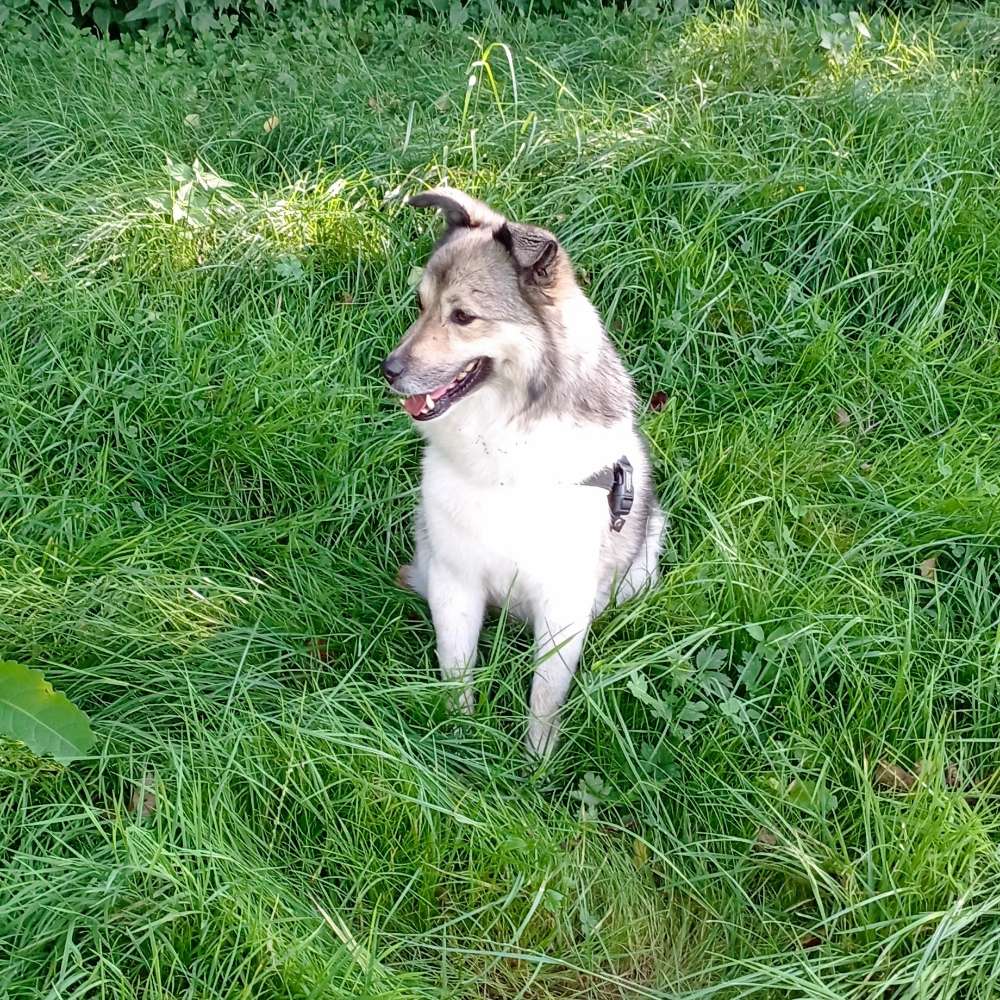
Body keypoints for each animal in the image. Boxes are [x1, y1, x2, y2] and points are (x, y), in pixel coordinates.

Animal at [382, 188, 664, 756]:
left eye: (464, 316)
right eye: (420, 306)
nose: (388, 371)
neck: (503, 438)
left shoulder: (562, 601)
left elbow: (545, 694)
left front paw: (536, 761)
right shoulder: (455, 579)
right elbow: (457, 670)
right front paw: (460, 739)